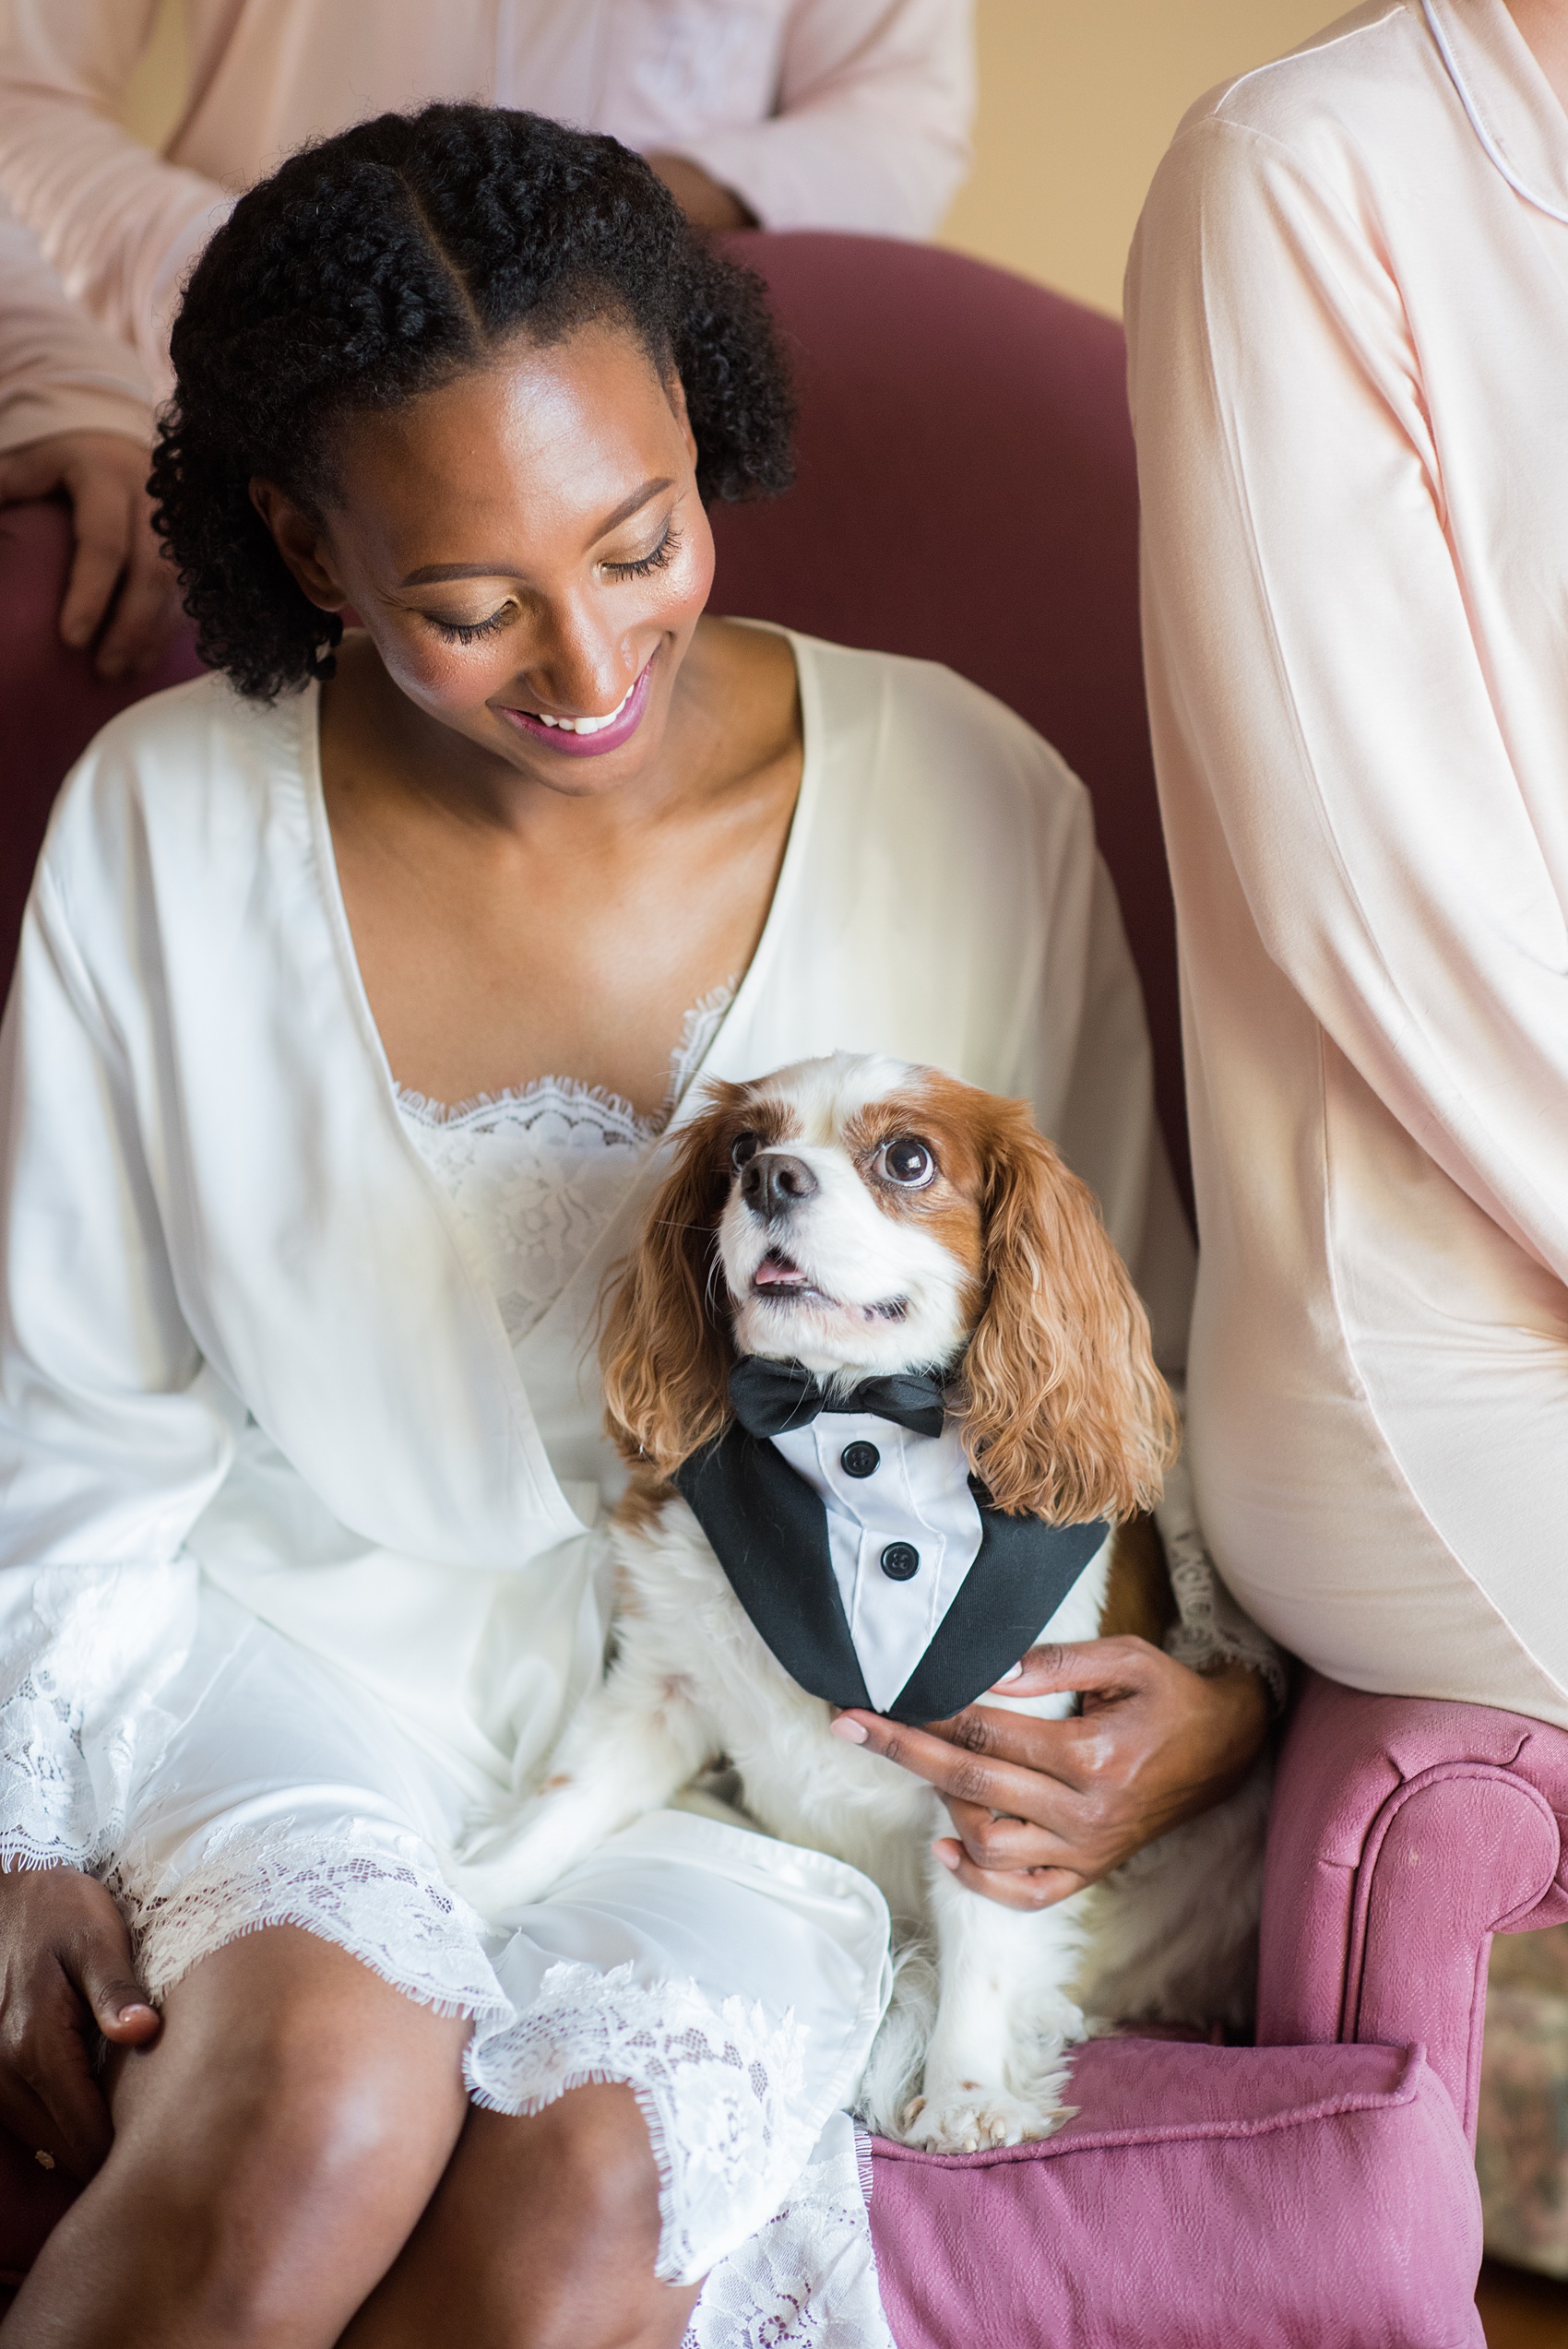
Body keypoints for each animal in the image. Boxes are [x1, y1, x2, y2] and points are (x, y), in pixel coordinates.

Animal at [469, 1057, 1278, 2152]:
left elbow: (983, 1939)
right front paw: (454, 1896)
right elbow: (565, 1806)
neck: (850, 1427)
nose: (770, 1176)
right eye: (739, 1146)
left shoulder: (1003, 1770)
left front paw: (965, 2089)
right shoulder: (659, 1690)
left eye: (907, 1159)